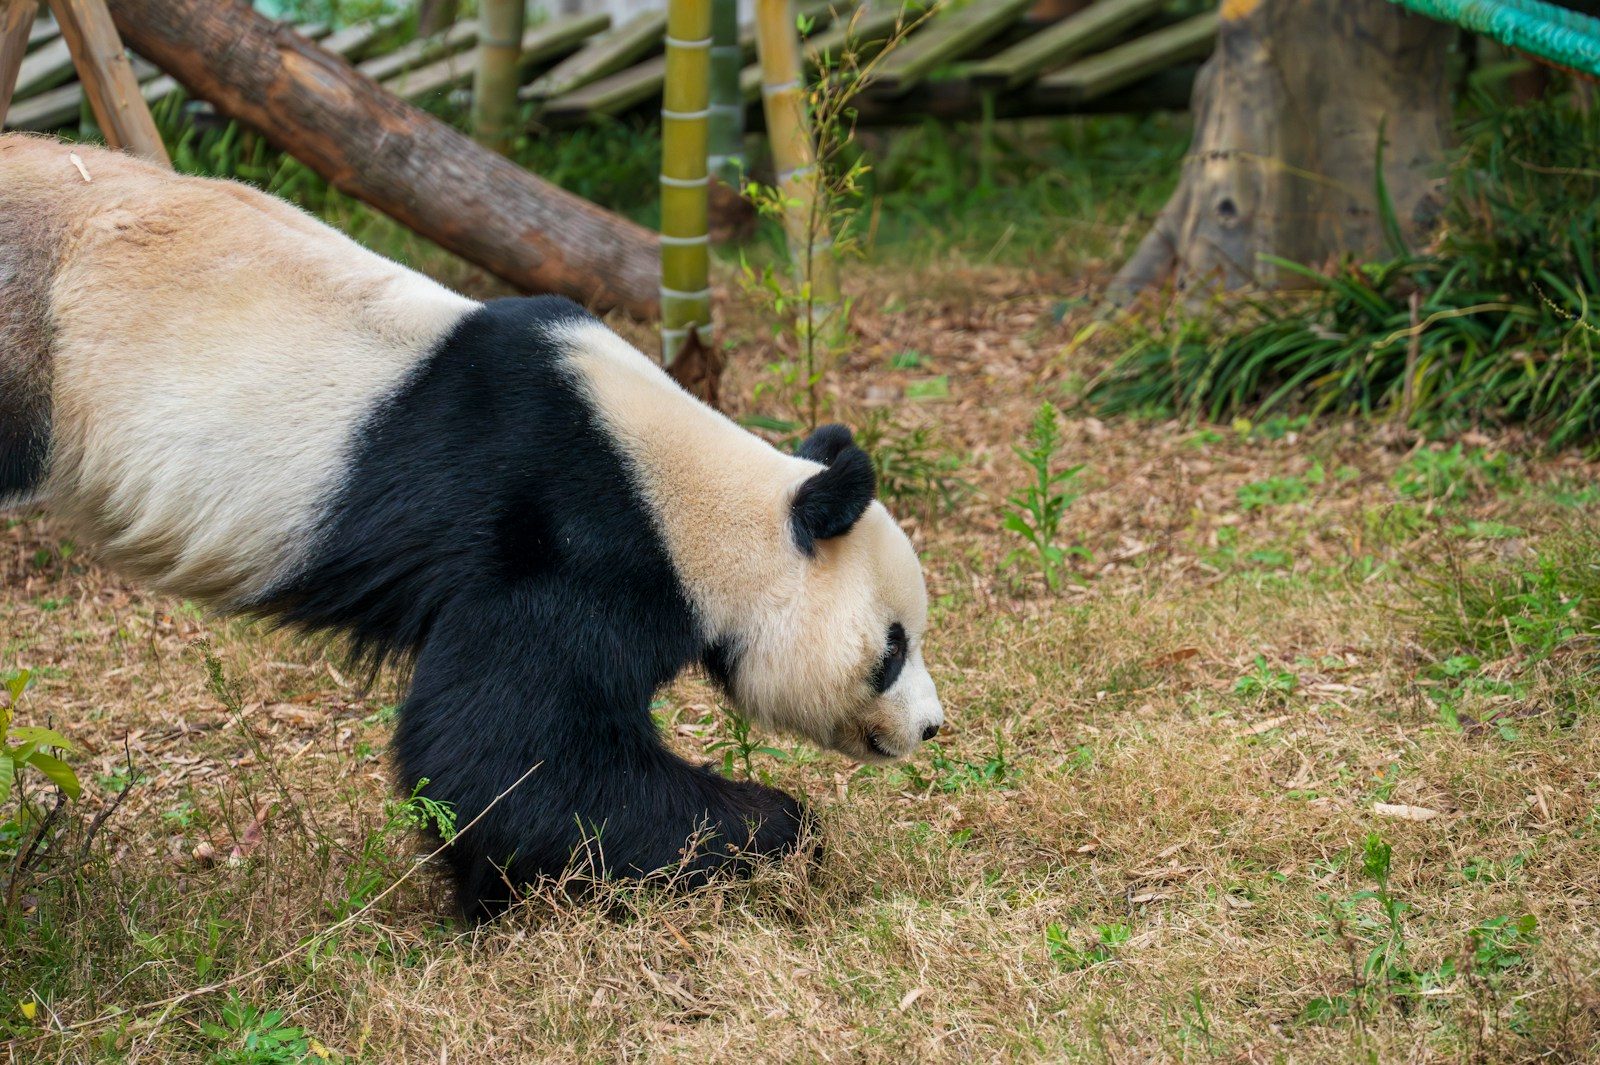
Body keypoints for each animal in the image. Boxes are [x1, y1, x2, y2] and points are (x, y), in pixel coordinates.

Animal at [0, 135, 944, 917]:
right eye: (892, 647)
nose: (931, 726)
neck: (693, 495)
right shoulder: (572, 537)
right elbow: (509, 752)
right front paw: (769, 830)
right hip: (34, 335)